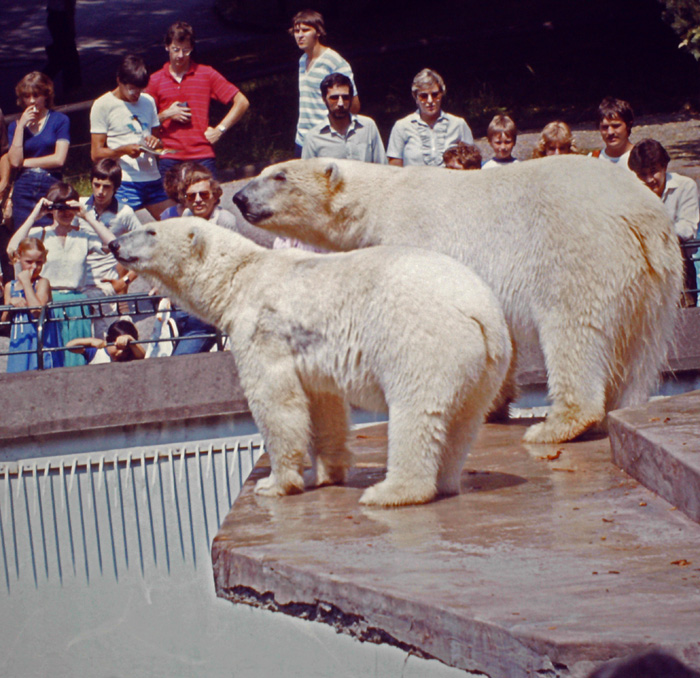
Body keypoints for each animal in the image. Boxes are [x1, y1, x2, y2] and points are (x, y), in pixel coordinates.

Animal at [112, 220, 512, 508]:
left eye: (151, 231)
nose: (114, 244)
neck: (240, 276)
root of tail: (479, 312)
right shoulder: (311, 352)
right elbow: (323, 403)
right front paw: (326, 473)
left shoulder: (263, 329)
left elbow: (275, 400)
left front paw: (274, 483)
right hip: (487, 364)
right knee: (464, 420)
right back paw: (445, 481)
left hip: (423, 340)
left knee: (416, 413)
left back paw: (390, 492)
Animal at [235, 154, 684, 446]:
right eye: (264, 172)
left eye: (279, 176)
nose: (239, 198)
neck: (382, 199)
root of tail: (642, 219)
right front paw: (493, 405)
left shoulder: (415, 236)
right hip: (657, 282)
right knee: (640, 352)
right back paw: (617, 413)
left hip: (581, 257)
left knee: (574, 331)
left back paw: (556, 426)